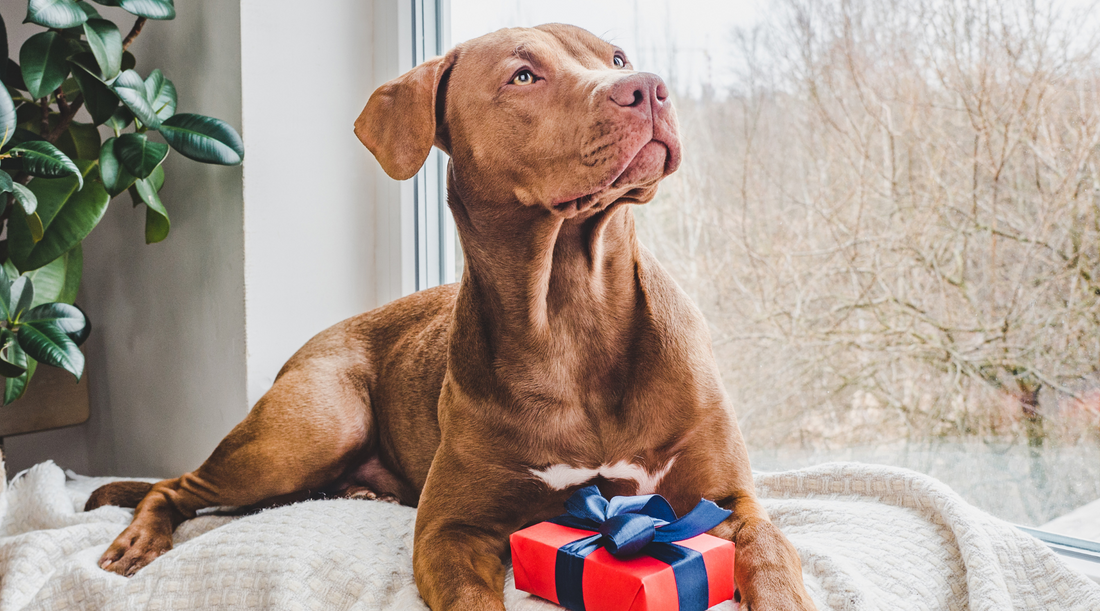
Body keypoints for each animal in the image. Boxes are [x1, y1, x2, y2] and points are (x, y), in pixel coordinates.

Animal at [88, 23, 818, 611]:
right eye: (522, 75)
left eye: (616, 57)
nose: (648, 88)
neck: (571, 311)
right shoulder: (451, 531)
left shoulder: (727, 500)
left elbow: (770, 554)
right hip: (313, 426)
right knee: (173, 484)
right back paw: (138, 539)